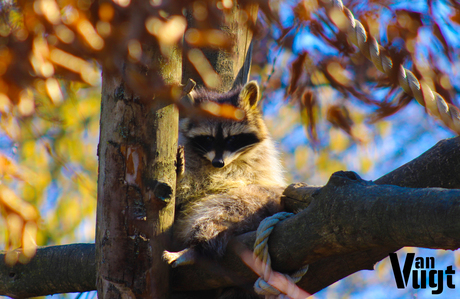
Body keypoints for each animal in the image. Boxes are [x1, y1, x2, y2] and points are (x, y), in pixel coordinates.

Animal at [164, 82, 286, 272]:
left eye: (232, 139)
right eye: (208, 138)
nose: (218, 163)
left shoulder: (257, 163)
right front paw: (181, 175)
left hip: (256, 202)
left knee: (220, 211)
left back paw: (196, 249)